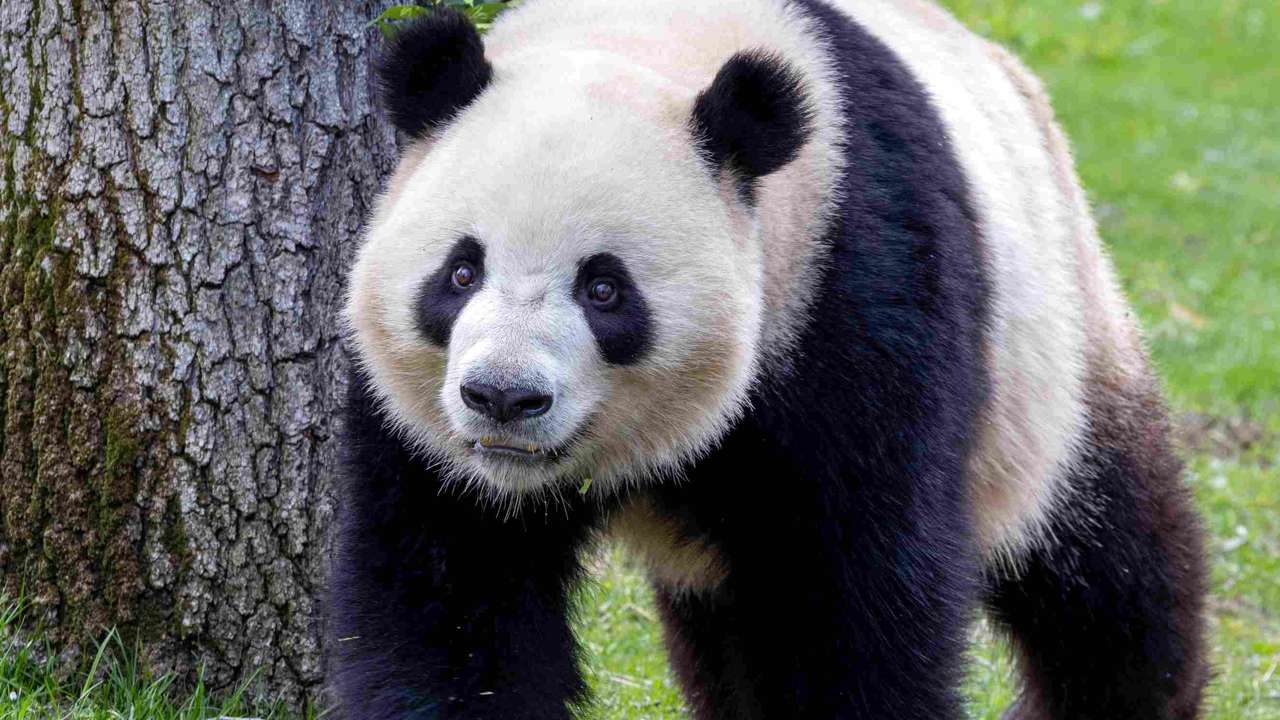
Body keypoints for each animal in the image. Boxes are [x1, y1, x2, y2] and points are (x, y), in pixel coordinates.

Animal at [328, 1, 1209, 718]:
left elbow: (856, 595)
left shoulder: (854, 283)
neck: (643, 41)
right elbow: (451, 598)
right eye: (461, 272)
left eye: (605, 289)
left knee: (1108, 573)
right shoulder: (426, 435)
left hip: (1057, 350)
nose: (503, 398)